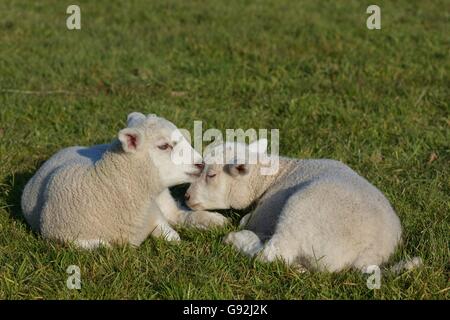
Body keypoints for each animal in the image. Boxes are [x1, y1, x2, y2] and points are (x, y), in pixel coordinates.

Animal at [21, 112, 229, 250]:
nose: (201, 163)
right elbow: (104, 247)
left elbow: (171, 235)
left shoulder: (153, 212)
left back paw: (214, 219)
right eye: (163, 146)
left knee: (176, 214)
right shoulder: (63, 237)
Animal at [184, 139, 422, 272]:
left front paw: (243, 226)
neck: (271, 178)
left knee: (271, 255)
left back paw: (238, 239)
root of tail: (368, 256)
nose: (186, 196)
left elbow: (246, 220)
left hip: (300, 213)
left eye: (212, 175)